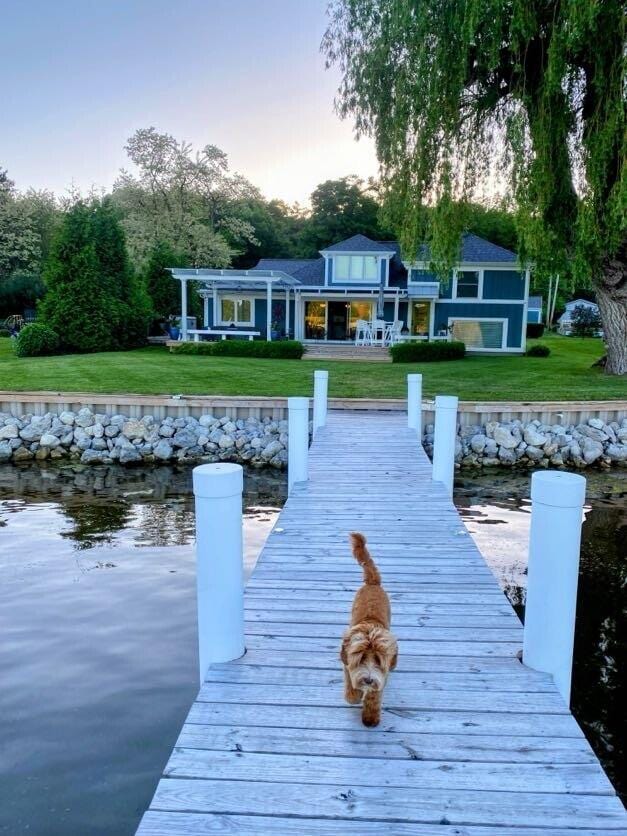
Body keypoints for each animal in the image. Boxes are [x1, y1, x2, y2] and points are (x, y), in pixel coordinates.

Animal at [340, 536, 400, 724]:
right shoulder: (348, 666)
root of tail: (373, 582)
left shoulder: (381, 676)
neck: (371, 624)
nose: (367, 679)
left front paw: (370, 719)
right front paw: (354, 696)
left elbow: (374, 696)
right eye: (361, 657)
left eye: (379, 660)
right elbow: (351, 687)